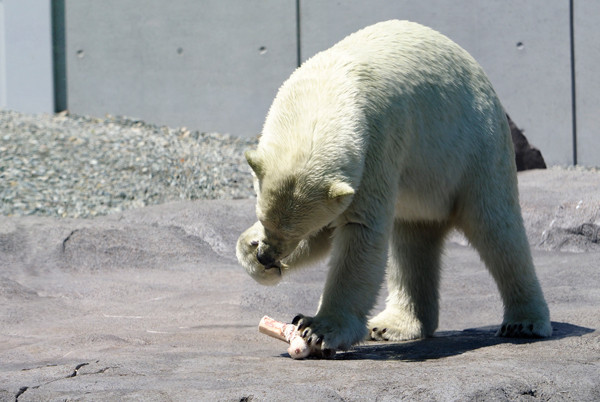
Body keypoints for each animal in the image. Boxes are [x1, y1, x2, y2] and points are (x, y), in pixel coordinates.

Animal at [236, 21, 552, 354]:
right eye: (265, 220)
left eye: (295, 232)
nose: (267, 257)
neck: (329, 85)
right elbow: (331, 231)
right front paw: (251, 250)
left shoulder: (377, 141)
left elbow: (360, 230)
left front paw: (318, 329)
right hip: (423, 190)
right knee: (413, 241)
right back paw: (392, 325)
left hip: (476, 149)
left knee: (496, 228)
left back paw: (525, 322)